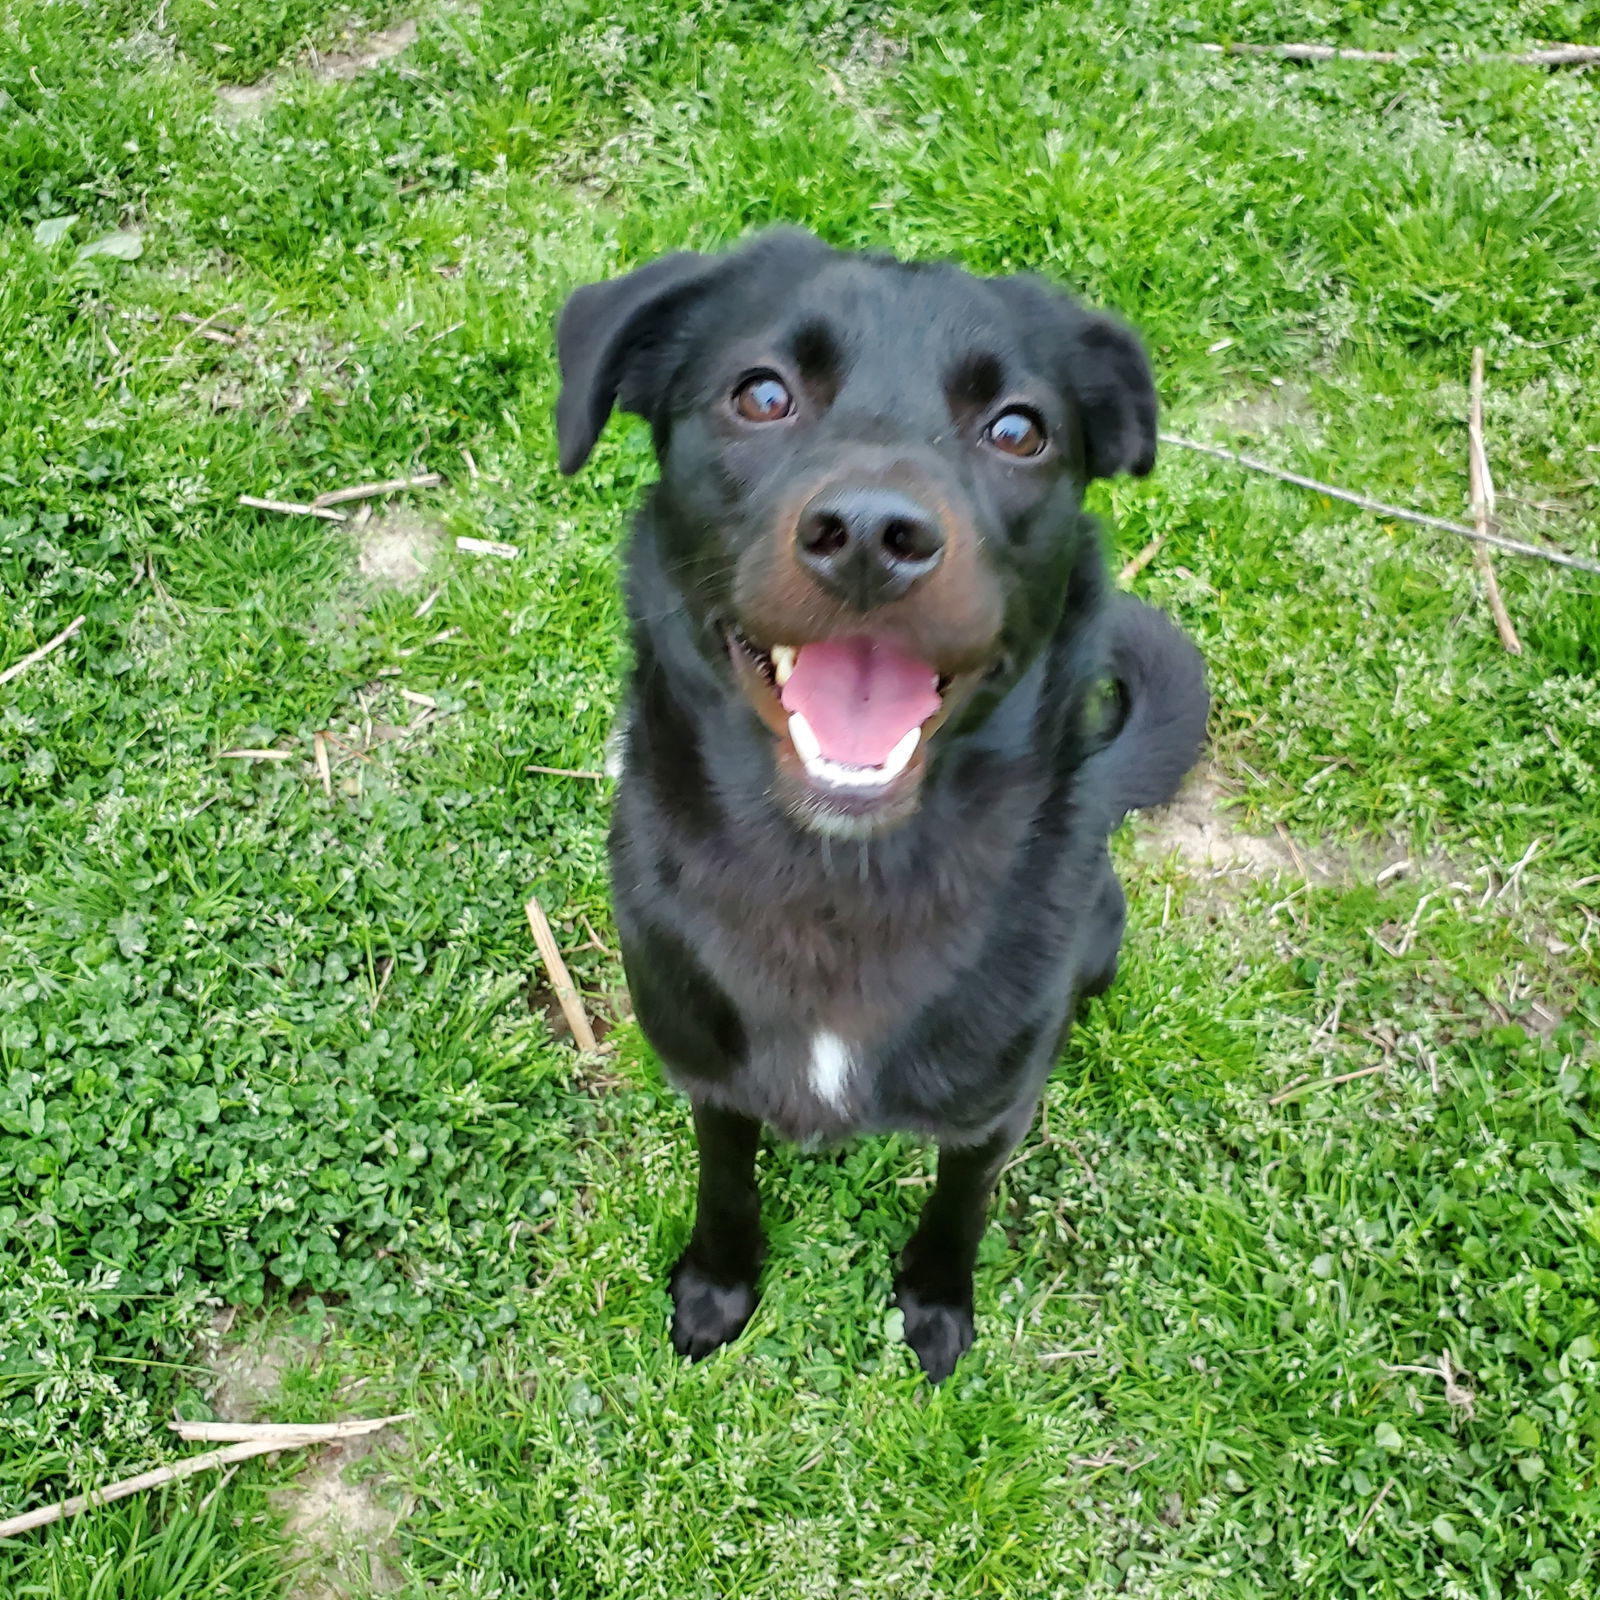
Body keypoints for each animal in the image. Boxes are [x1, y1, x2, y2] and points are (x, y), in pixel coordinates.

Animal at [556, 232, 1203, 1382]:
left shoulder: (991, 1111)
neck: (835, 877)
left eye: (1018, 429)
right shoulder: (707, 1075)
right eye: (761, 394)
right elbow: (725, 1181)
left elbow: (961, 1207)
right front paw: (718, 1284)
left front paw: (936, 1305)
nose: (869, 534)